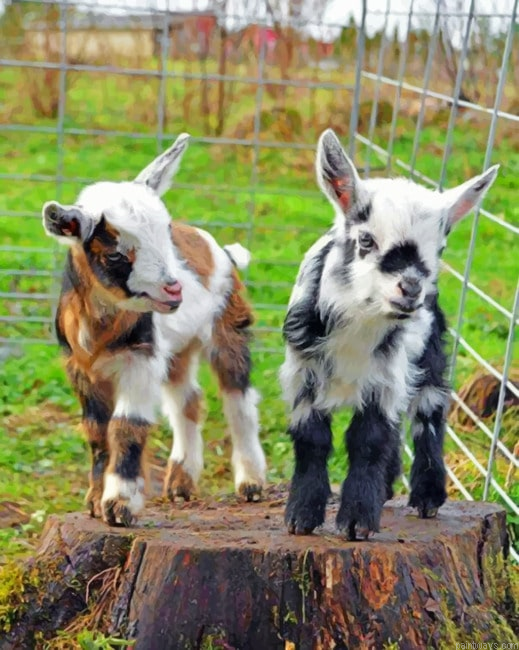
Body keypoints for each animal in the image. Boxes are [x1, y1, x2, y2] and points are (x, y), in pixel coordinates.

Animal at [42, 134, 267, 526]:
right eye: (115, 254)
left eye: (165, 234)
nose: (173, 289)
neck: (102, 329)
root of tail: (221, 250)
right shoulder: (80, 366)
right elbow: (96, 429)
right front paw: (94, 500)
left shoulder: (140, 357)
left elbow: (126, 424)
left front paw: (120, 504)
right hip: (177, 349)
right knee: (187, 400)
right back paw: (181, 483)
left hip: (229, 326)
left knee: (239, 400)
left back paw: (251, 483)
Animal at [280, 128, 499, 540]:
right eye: (366, 240)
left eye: (440, 247)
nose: (411, 288)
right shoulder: (303, 370)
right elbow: (312, 438)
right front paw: (301, 516)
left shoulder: (386, 373)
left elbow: (369, 440)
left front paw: (357, 522)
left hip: (429, 356)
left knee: (429, 414)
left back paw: (427, 497)